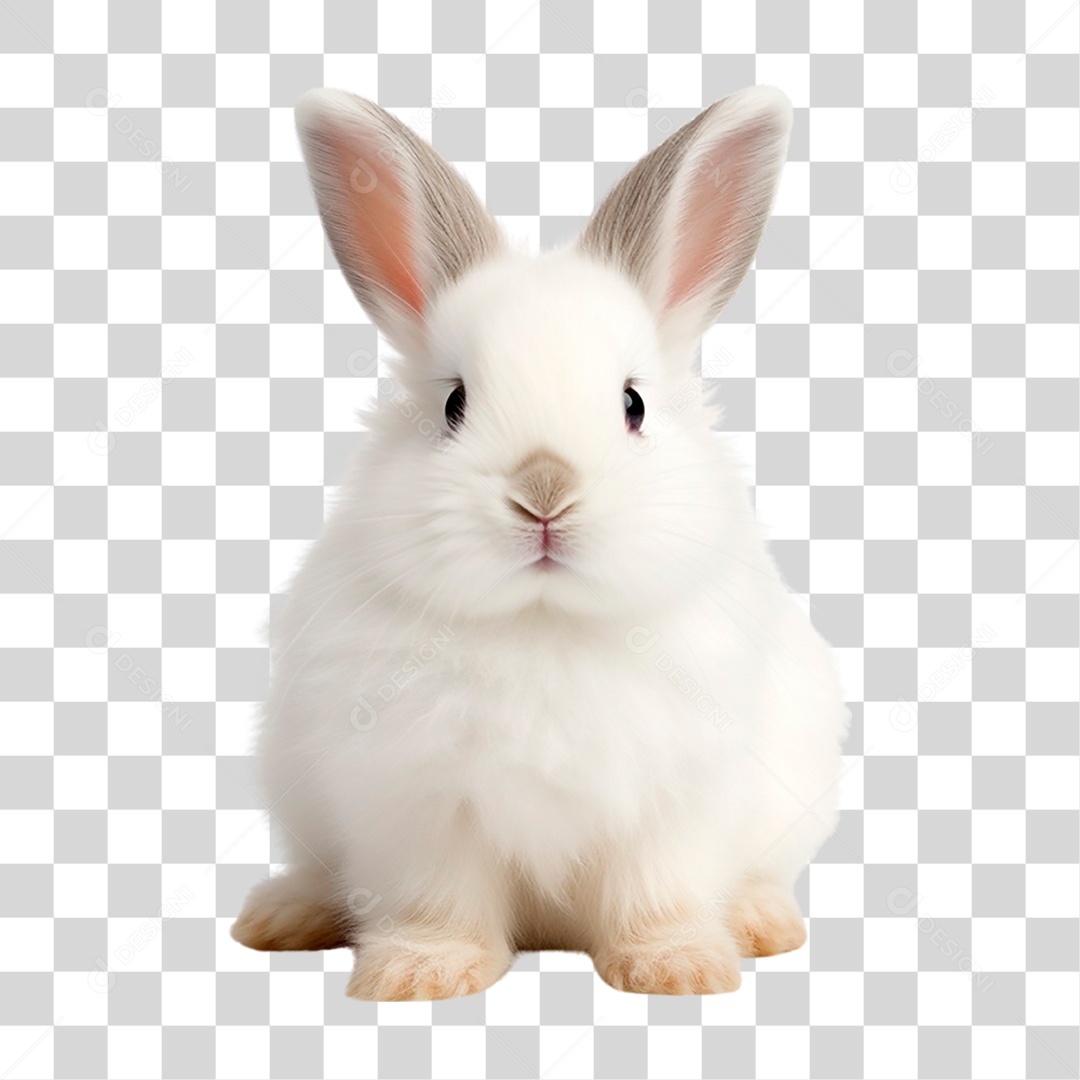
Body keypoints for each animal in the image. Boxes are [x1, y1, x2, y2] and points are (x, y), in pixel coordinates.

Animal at [230, 85, 849, 1000]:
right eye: (453, 404)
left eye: (632, 404)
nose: (545, 492)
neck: (543, 620)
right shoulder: (420, 807)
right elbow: (441, 901)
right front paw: (421, 974)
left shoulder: (676, 803)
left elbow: (656, 892)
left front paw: (677, 969)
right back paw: (282, 917)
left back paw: (760, 922)